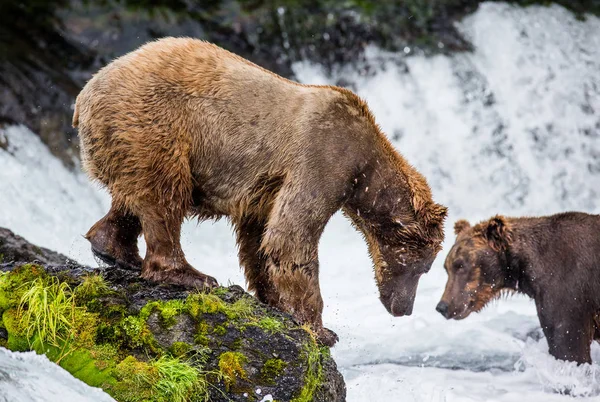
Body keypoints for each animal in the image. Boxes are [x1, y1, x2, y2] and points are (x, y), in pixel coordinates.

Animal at [72, 37, 446, 346]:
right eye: (422, 268)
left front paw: (276, 301)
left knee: (132, 196)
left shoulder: (267, 189)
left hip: (125, 139)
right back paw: (190, 275)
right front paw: (322, 329)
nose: (404, 308)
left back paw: (116, 249)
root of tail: (84, 95)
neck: (366, 168)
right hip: (154, 124)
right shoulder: (323, 158)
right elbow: (291, 238)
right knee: (165, 196)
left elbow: (260, 238)